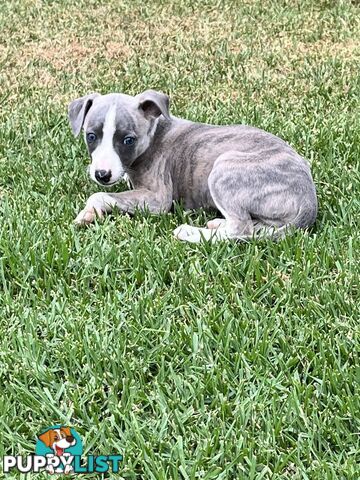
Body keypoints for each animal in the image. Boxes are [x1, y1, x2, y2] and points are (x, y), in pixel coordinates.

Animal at [69, 89, 316, 242]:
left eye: (128, 140)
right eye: (91, 136)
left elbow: (100, 195)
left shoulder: (157, 199)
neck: (154, 135)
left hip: (223, 170)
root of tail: (309, 202)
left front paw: (88, 212)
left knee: (240, 228)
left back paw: (190, 233)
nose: (102, 174)